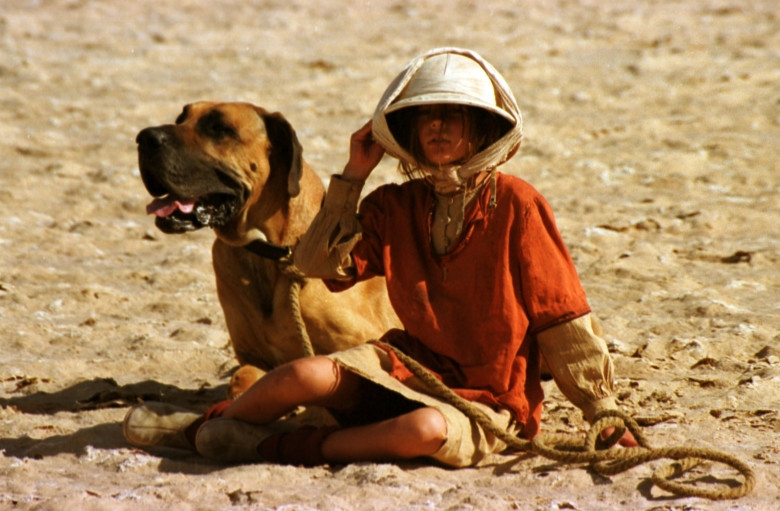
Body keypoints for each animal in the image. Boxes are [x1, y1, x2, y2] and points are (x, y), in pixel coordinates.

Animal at [136, 101, 400, 392]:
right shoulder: (254, 358)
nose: (144, 138)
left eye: (219, 128)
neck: (268, 252)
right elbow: (242, 379)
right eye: (180, 119)